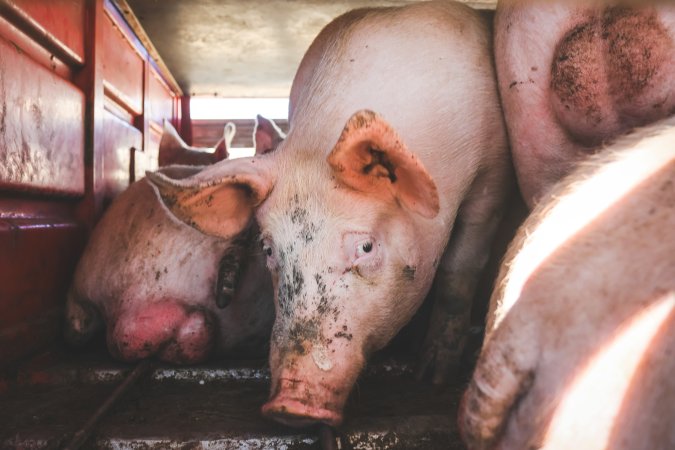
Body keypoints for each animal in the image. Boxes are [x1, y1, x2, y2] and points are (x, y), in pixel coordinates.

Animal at [149, 0, 512, 428]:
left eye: (367, 248)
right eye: (269, 250)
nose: (289, 404)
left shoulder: (492, 172)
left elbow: (460, 270)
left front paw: (433, 377)